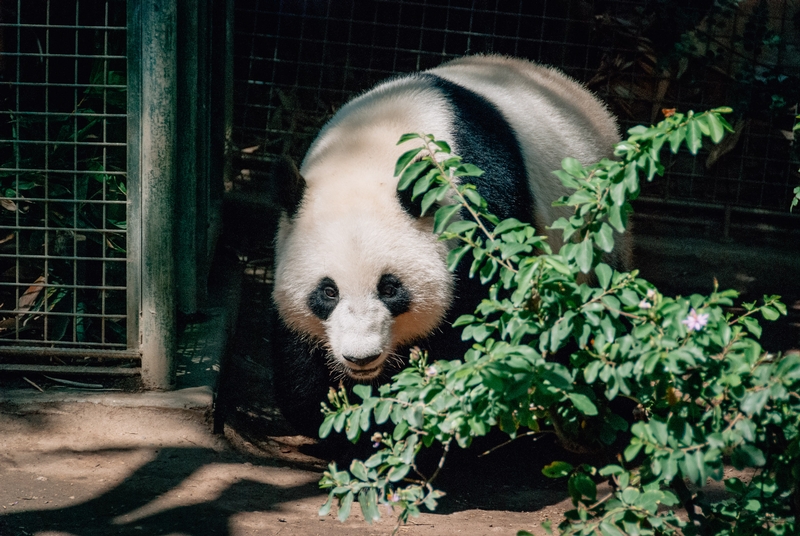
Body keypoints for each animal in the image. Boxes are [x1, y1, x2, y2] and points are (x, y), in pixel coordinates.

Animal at [272, 56, 628, 438]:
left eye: (390, 288)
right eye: (328, 292)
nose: (362, 357)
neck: (370, 150)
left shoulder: (481, 208)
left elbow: (479, 322)